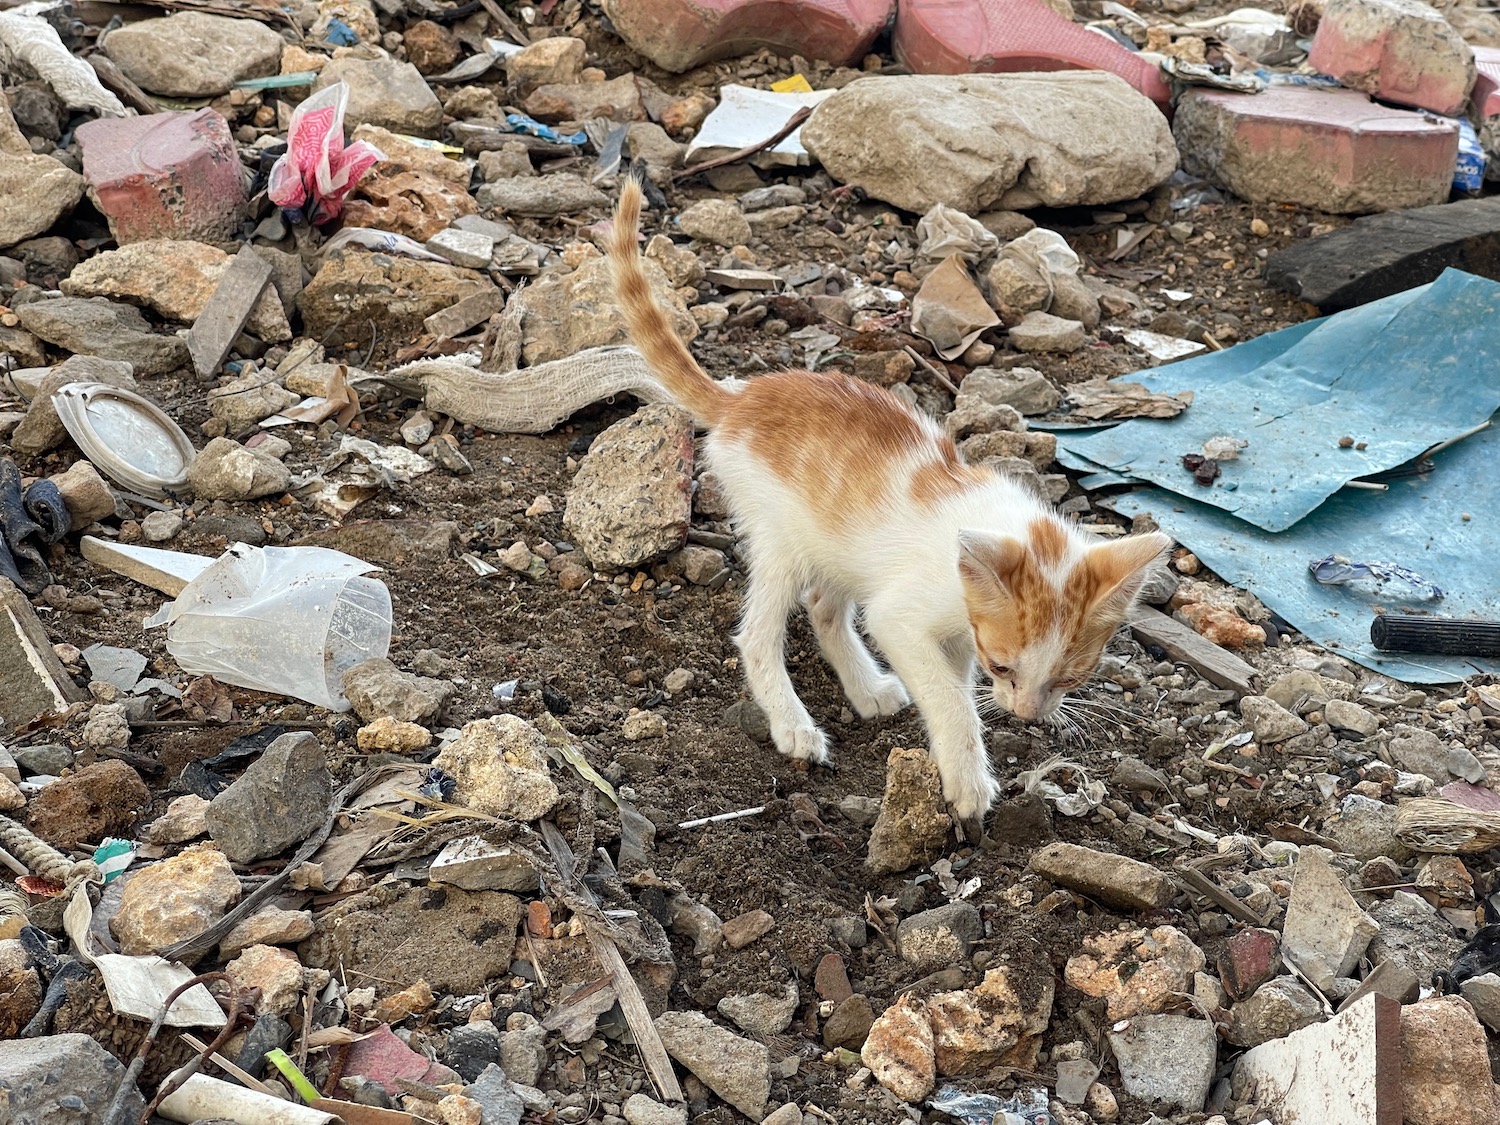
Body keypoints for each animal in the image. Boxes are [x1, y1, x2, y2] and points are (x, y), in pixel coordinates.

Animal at [603, 178, 1164, 828]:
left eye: (1072, 677)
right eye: (1004, 666)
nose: (1026, 713)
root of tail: (739, 400)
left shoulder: (954, 631)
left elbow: (952, 678)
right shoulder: (903, 616)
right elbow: (946, 693)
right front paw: (966, 779)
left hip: (837, 543)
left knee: (824, 605)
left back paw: (866, 688)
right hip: (781, 538)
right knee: (759, 636)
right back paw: (795, 727)